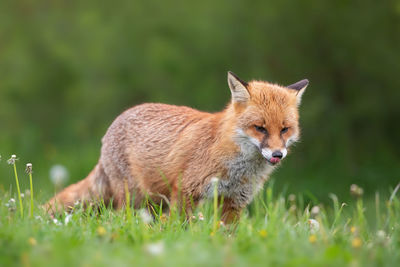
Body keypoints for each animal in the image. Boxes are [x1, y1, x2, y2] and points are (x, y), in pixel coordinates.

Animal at [47, 71, 310, 224]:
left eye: (285, 130)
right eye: (260, 128)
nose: (278, 154)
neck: (238, 167)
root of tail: (114, 123)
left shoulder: (234, 201)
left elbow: (227, 236)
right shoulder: (186, 190)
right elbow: (180, 227)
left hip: (155, 200)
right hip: (137, 197)